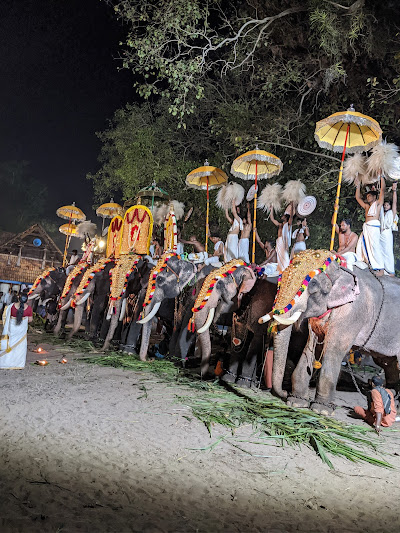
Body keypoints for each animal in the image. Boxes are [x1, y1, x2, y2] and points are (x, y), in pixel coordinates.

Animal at [260, 249, 400, 416]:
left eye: (313, 285)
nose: (284, 393)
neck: (340, 269)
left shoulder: (353, 312)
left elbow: (333, 350)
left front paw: (321, 410)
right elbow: (311, 347)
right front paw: (296, 402)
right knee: (388, 363)